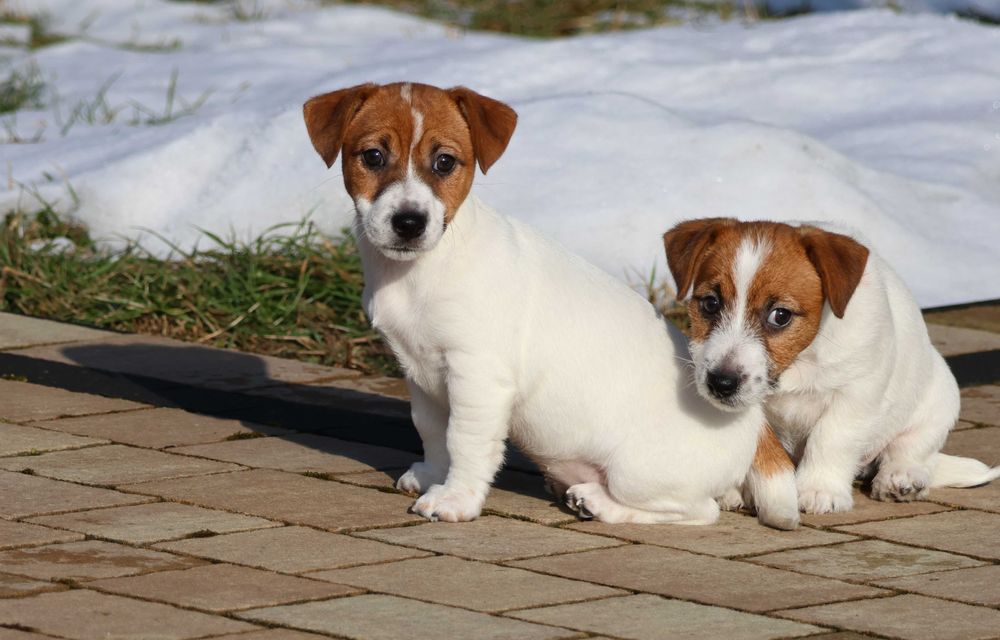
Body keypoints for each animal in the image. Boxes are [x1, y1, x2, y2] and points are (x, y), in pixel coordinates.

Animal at [304, 82, 799, 528]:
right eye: (372, 157)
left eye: (444, 162)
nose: (409, 222)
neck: (421, 269)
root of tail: (752, 426)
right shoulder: (421, 376)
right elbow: (431, 431)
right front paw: (432, 476)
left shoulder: (478, 377)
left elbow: (465, 441)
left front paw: (456, 500)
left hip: (637, 473)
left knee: (699, 511)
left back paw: (597, 502)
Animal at [664, 218, 1000, 514]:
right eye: (710, 304)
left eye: (780, 315)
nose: (721, 383)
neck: (800, 361)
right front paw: (740, 487)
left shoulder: (857, 394)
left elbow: (831, 438)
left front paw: (819, 490)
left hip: (940, 397)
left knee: (914, 449)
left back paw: (899, 477)